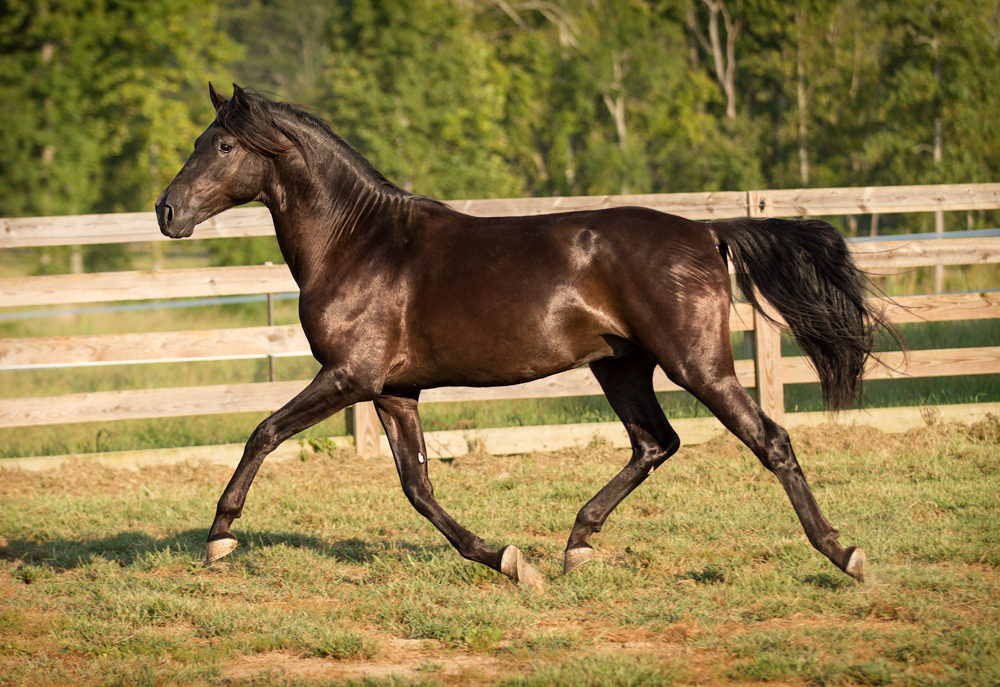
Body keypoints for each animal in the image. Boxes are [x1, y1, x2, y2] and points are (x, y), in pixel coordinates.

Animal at [158, 80, 900, 584]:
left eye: (222, 144)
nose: (166, 211)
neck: (358, 242)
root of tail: (706, 232)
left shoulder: (349, 376)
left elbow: (264, 432)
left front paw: (219, 536)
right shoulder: (395, 391)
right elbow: (418, 487)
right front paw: (508, 560)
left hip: (697, 365)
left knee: (767, 439)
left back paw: (844, 552)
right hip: (621, 365)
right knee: (654, 442)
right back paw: (577, 543)